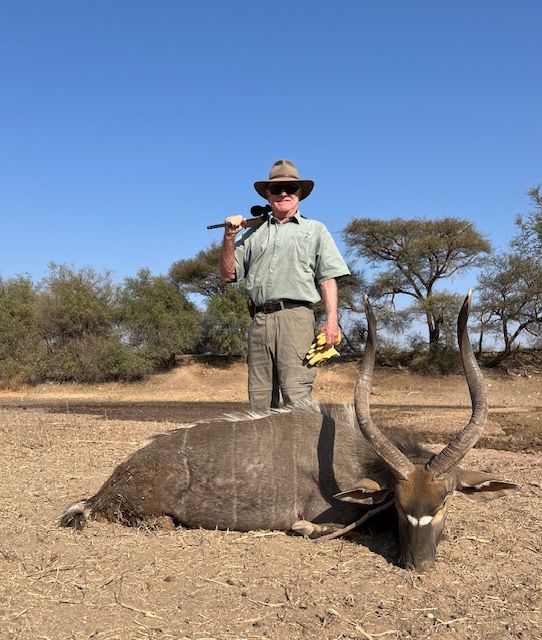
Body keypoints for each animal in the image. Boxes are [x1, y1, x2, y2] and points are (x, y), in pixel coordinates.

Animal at [60, 292, 519, 571]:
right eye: (400, 501)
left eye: (445, 500)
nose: (418, 564)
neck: (355, 453)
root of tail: (111, 482)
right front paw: (303, 529)